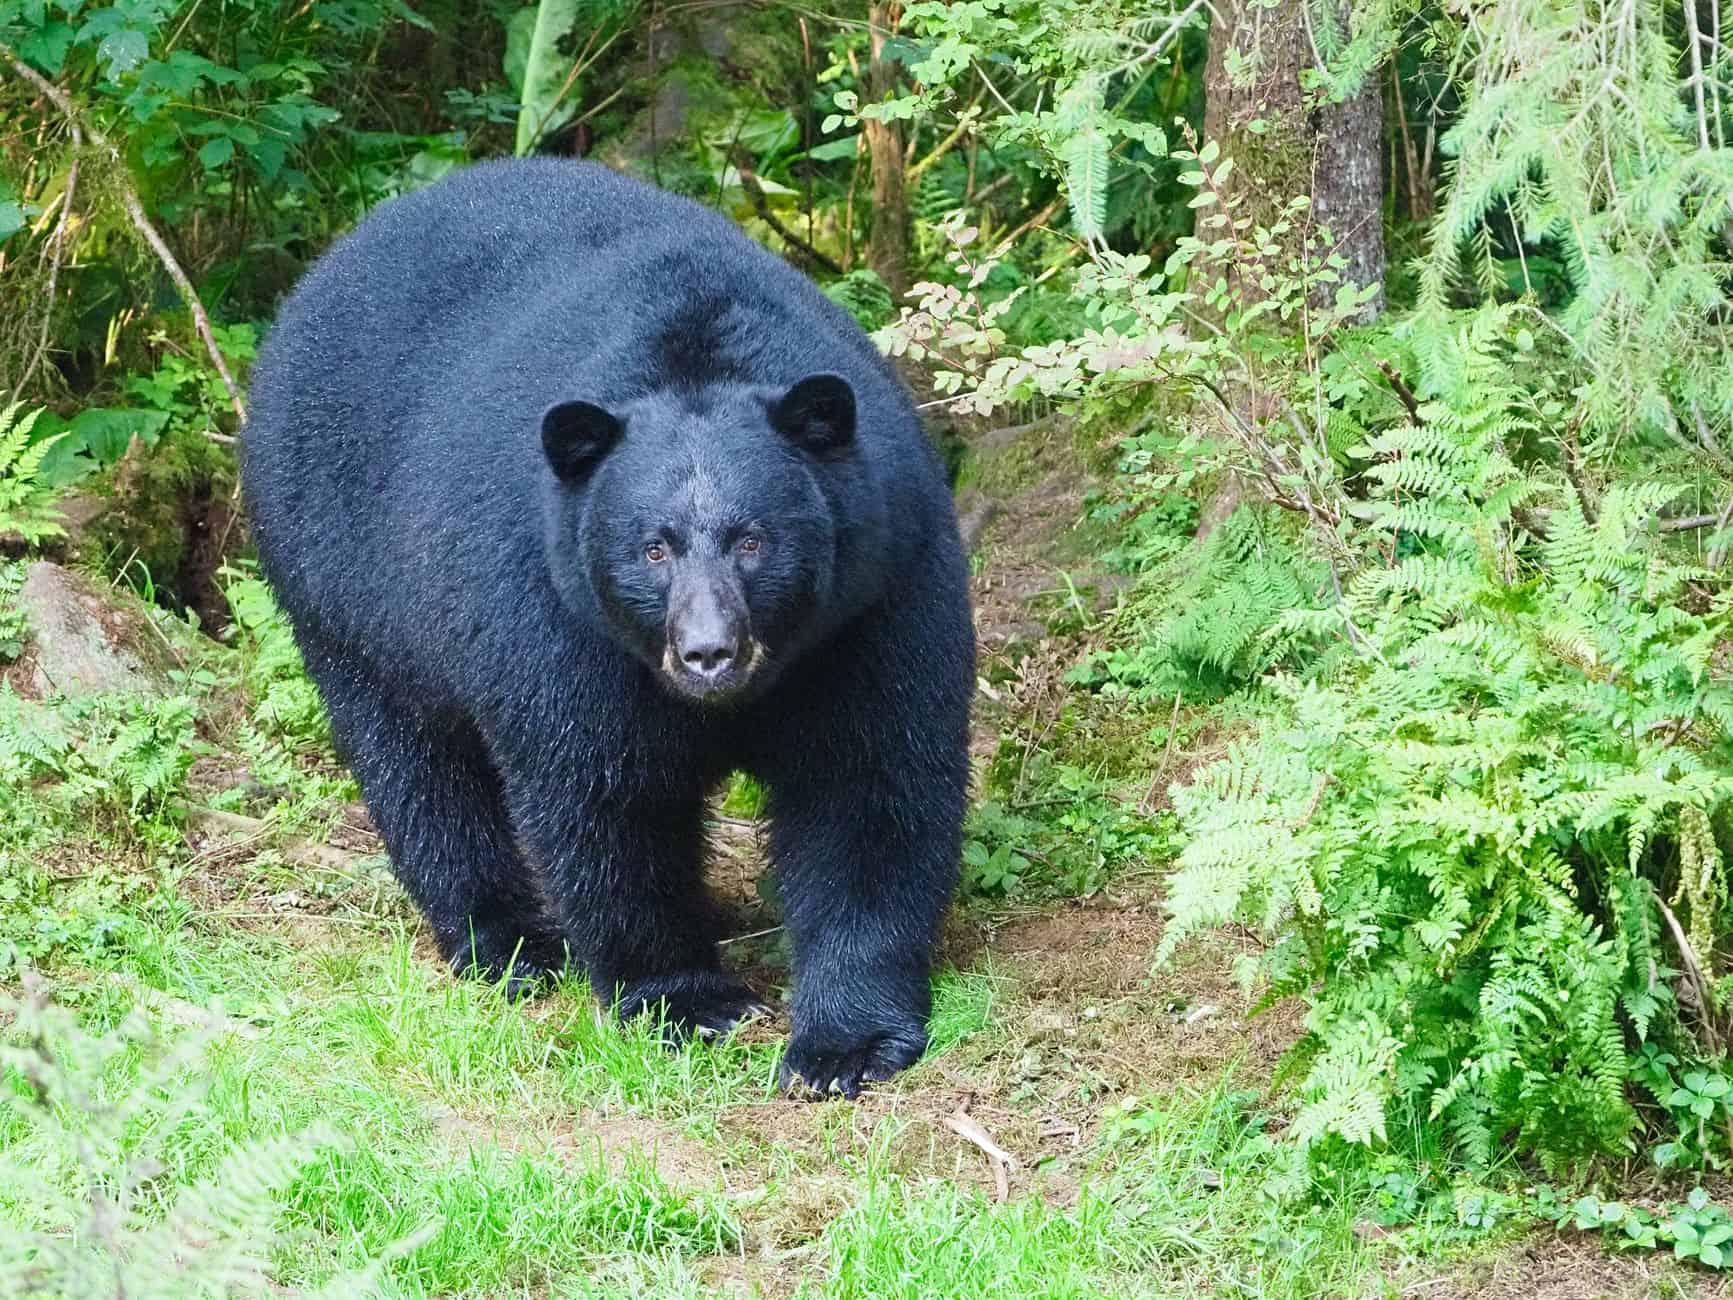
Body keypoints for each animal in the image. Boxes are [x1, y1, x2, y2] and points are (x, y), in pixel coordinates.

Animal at [239, 158, 975, 1096]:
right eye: (652, 548)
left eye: (752, 540)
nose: (708, 654)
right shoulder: (553, 617)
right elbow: (605, 798)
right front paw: (684, 1000)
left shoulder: (876, 597)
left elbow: (868, 782)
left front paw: (846, 1041)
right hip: (343, 585)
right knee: (417, 768)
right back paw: (508, 942)